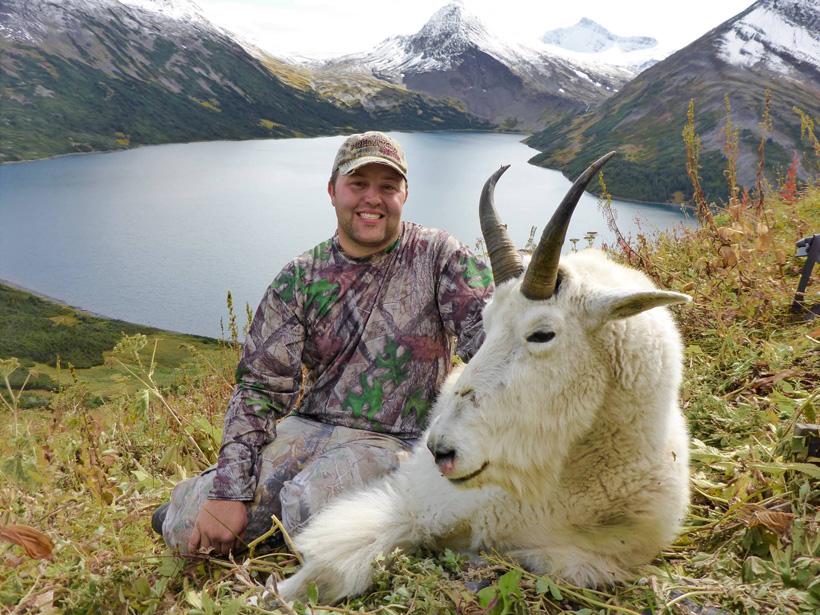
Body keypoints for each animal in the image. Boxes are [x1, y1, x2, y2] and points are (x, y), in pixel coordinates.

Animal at [276, 152, 691, 603]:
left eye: (542, 333)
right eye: (486, 323)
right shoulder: (416, 501)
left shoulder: (599, 552)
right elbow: (336, 562)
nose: (441, 449)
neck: (562, 485)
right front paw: (275, 592)